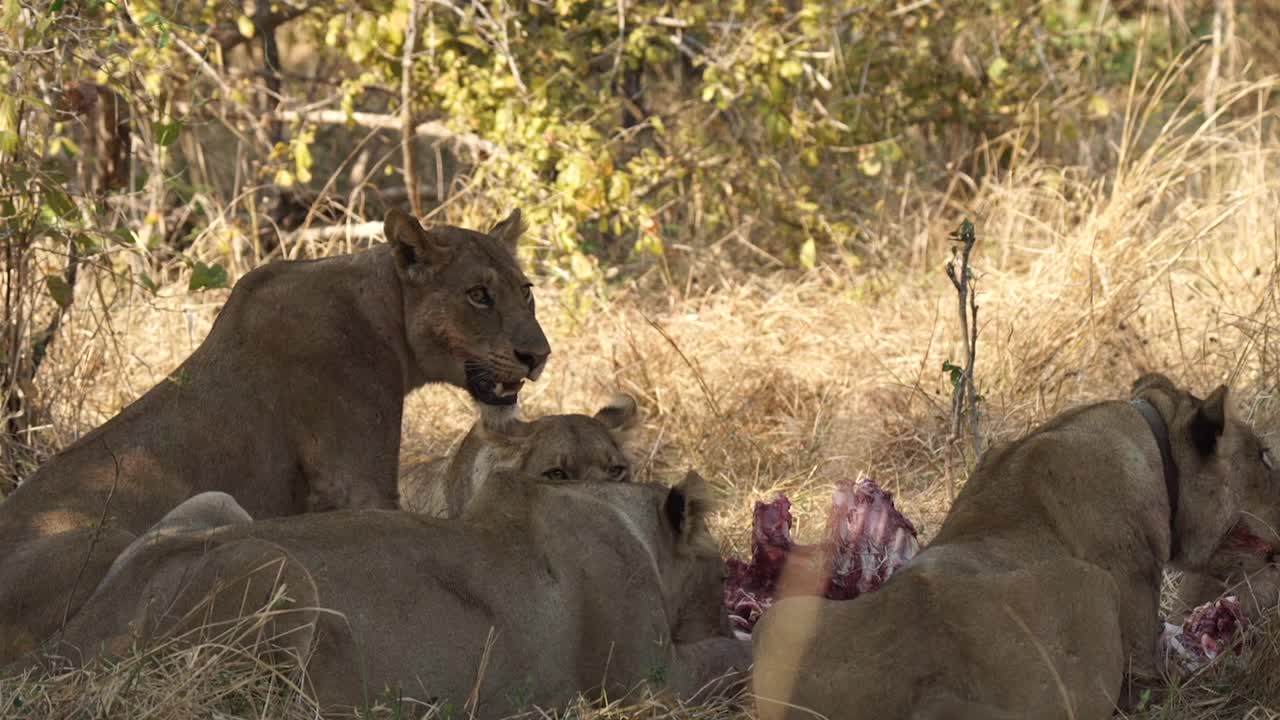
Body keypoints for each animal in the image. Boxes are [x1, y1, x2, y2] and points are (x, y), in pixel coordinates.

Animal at [0, 206, 545, 661]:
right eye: (478, 295)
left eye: (526, 291)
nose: (540, 355)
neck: (385, 310)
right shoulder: (358, 482)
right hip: (108, 537)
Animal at [42, 471, 747, 712]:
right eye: (723, 576)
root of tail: (65, 645)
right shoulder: (645, 685)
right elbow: (726, 659)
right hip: (276, 566)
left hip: (212, 504)